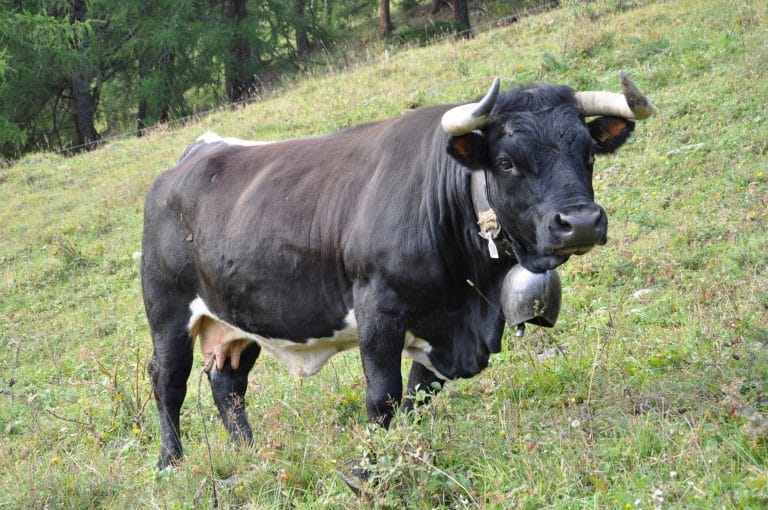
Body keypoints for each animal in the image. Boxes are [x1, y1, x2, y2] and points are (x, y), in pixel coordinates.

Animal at [141, 74, 652, 466]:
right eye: (507, 162)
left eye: (588, 153)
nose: (580, 222)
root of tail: (194, 155)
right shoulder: (379, 310)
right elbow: (382, 396)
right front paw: (375, 463)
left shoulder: (440, 328)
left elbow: (418, 398)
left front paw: (409, 451)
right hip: (167, 312)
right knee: (168, 382)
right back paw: (172, 463)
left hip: (237, 317)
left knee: (228, 384)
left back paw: (249, 454)